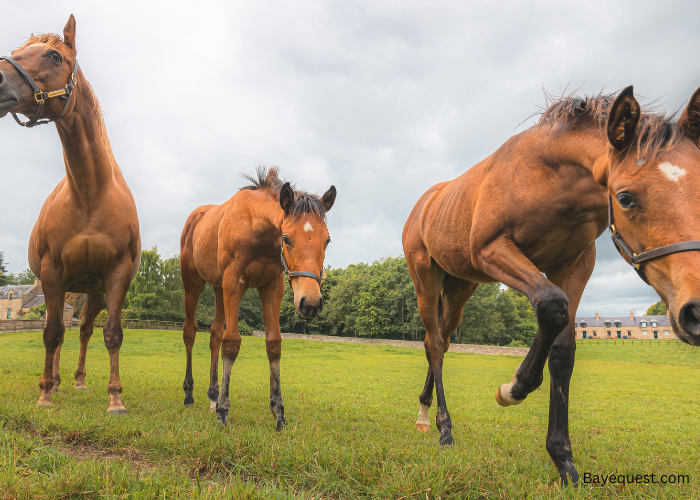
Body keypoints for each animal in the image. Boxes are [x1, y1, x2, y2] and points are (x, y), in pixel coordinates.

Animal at [0, 16, 141, 414]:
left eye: (54, 55)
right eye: (16, 52)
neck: (91, 194)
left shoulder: (116, 275)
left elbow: (111, 334)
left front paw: (115, 398)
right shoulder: (52, 273)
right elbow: (51, 333)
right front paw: (45, 394)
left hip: (91, 292)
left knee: (84, 331)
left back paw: (77, 381)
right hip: (64, 286)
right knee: (60, 332)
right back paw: (58, 381)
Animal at [179, 165, 334, 430]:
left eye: (327, 240)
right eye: (286, 238)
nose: (311, 304)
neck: (255, 226)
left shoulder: (272, 287)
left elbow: (273, 343)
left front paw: (278, 412)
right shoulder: (234, 282)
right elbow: (231, 343)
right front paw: (223, 412)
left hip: (218, 288)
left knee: (214, 334)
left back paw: (212, 395)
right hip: (193, 283)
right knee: (190, 331)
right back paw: (190, 394)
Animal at [402, 86, 700, 484]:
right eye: (625, 198)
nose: (695, 310)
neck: (549, 175)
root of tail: (425, 203)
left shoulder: (575, 265)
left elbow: (563, 350)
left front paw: (563, 460)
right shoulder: (492, 250)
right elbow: (551, 304)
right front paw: (513, 388)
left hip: (461, 288)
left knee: (443, 342)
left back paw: (426, 412)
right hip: (426, 280)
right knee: (433, 345)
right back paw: (443, 428)